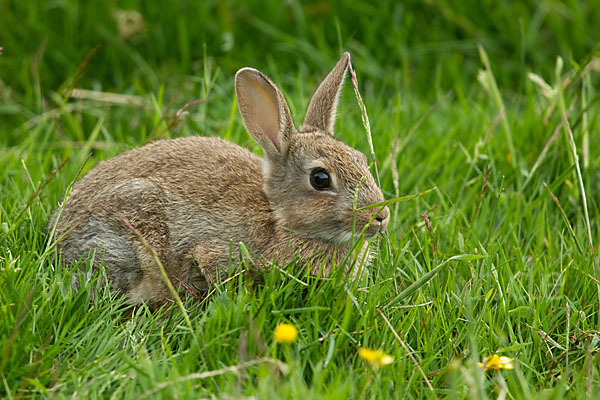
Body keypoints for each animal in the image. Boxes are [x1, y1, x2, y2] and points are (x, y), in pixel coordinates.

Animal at [49, 51, 392, 304]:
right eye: (320, 179)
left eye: (361, 159)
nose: (381, 215)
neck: (278, 218)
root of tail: (55, 240)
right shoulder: (215, 251)